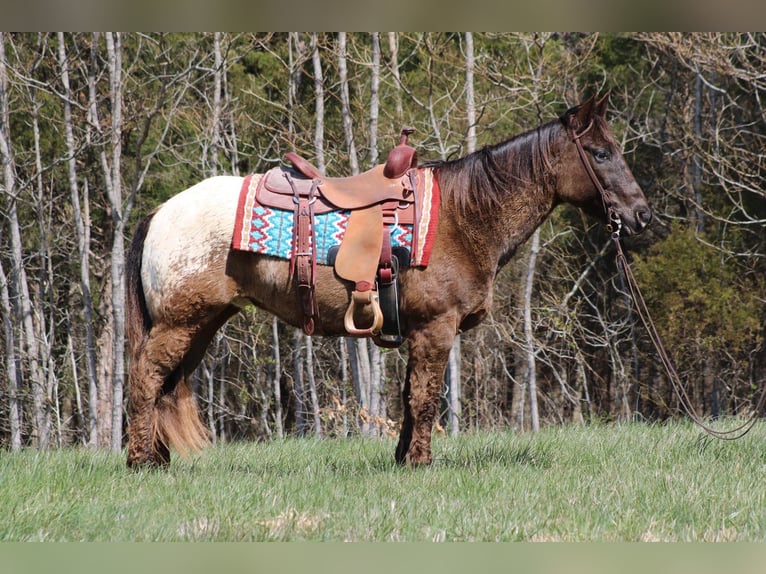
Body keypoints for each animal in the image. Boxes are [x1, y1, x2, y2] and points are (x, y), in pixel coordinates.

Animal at [126, 95, 656, 472]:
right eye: (600, 153)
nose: (642, 215)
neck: (464, 216)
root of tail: (160, 212)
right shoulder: (436, 328)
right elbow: (425, 397)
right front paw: (421, 463)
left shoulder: (418, 329)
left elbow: (408, 396)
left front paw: (403, 459)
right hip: (180, 323)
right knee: (146, 378)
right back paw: (141, 461)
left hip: (202, 324)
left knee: (164, 384)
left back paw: (158, 456)